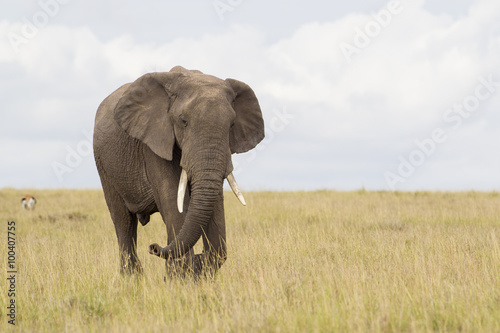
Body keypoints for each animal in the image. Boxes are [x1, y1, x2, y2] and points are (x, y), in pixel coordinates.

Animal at [94, 65, 266, 274]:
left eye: (232, 125)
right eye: (183, 121)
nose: (153, 247)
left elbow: (214, 204)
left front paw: (197, 267)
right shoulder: (153, 140)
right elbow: (172, 199)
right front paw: (181, 274)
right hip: (104, 165)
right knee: (124, 222)